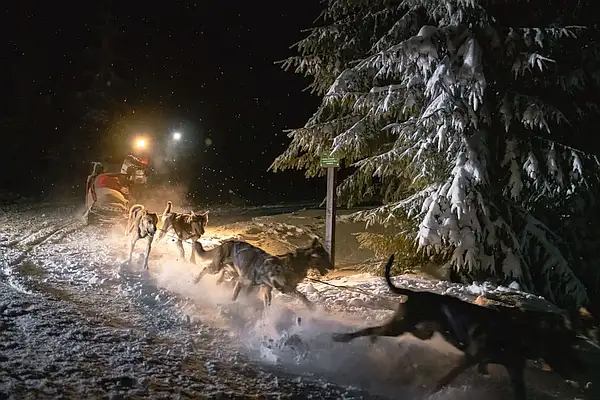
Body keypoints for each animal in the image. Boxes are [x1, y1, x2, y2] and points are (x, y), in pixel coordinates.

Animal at [192, 238, 332, 310]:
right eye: (324, 256)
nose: (332, 266)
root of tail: (227, 242)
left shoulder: (270, 289)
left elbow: (302, 297)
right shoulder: (244, 283)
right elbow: (235, 296)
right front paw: (232, 304)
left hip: (232, 271)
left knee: (223, 276)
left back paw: (218, 282)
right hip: (216, 267)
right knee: (205, 269)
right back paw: (195, 281)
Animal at [330, 255, 584, 398]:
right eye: (564, 347)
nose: (579, 372)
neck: (517, 332)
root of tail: (412, 293)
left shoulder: (514, 369)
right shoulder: (468, 359)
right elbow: (442, 381)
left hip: (420, 330)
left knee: (385, 331)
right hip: (400, 327)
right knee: (370, 330)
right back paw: (343, 338)